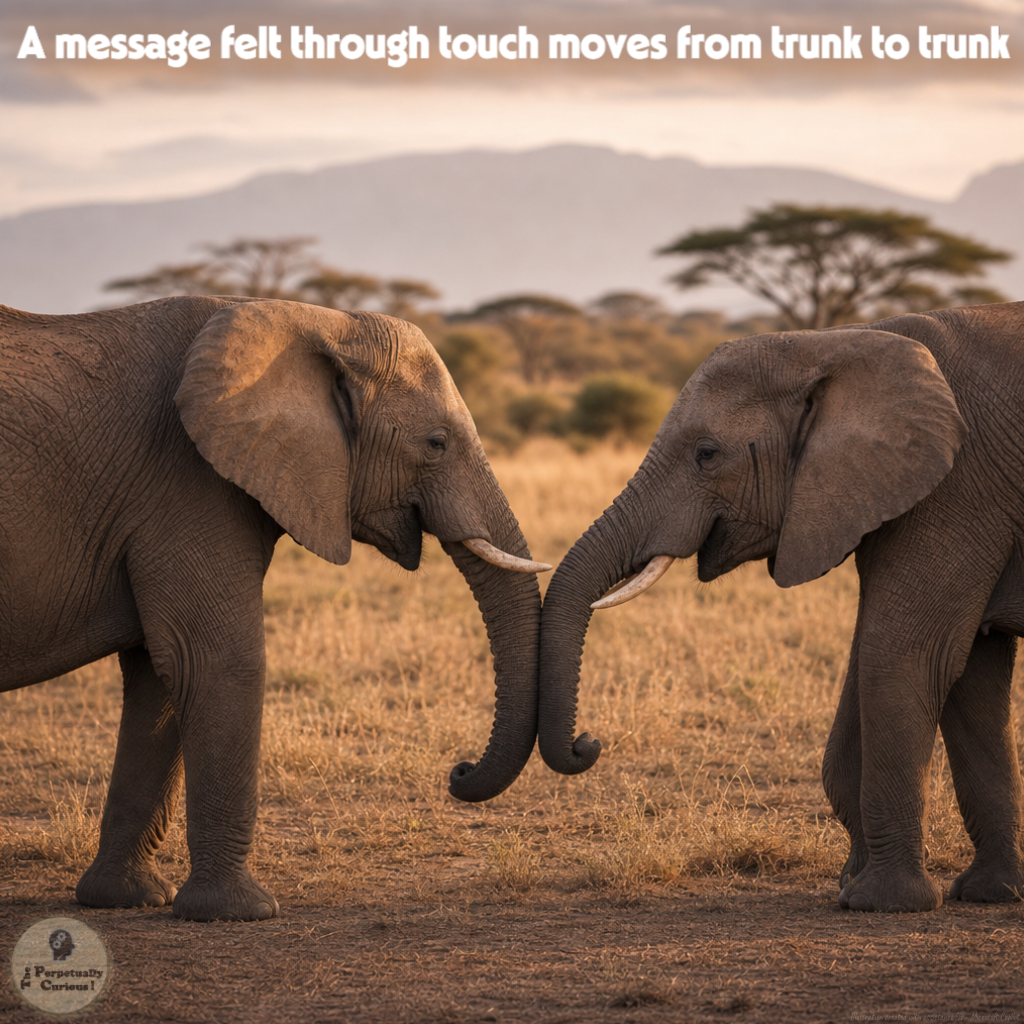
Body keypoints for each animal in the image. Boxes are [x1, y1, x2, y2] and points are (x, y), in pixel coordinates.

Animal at [0, 295, 549, 921]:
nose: (458, 772)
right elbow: (216, 662)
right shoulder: (188, 485)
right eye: (436, 443)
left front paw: (126, 900)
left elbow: (160, 678)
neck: (318, 323)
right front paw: (241, 912)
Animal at [538, 301, 1024, 913]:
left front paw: (881, 902)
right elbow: (962, 668)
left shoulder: (960, 486)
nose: (588, 743)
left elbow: (904, 653)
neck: (838, 343)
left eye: (706, 455)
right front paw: (986, 893)